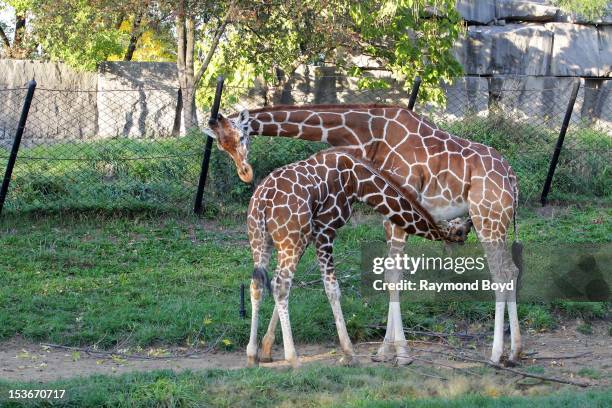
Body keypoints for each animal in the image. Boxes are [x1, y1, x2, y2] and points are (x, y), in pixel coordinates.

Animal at [246, 148, 470, 368]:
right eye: (460, 231)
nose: (464, 238)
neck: (358, 182)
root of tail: (263, 200)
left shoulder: (310, 234)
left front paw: (266, 349)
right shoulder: (325, 230)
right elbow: (332, 290)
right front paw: (349, 354)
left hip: (261, 240)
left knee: (258, 284)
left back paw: (251, 354)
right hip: (290, 240)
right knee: (280, 285)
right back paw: (293, 359)